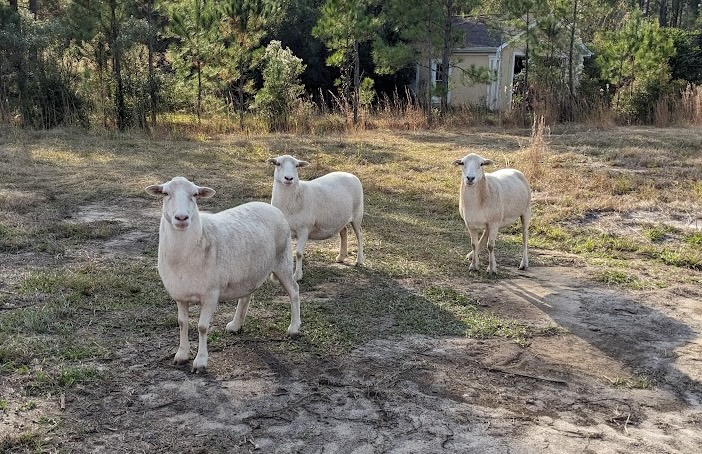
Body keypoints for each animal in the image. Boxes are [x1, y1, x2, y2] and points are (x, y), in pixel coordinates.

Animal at [145, 176, 301, 373]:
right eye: (165, 193)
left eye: (195, 195)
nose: (181, 218)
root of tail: (271, 207)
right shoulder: (180, 295)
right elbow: (182, 323)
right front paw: (181, 355)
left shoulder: (211, 294)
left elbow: (202, 327)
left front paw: (201, 361)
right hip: (249, 272)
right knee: (246, 296)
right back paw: (236, 325)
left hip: (282, 260)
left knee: (294, 291)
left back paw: (294, 328)